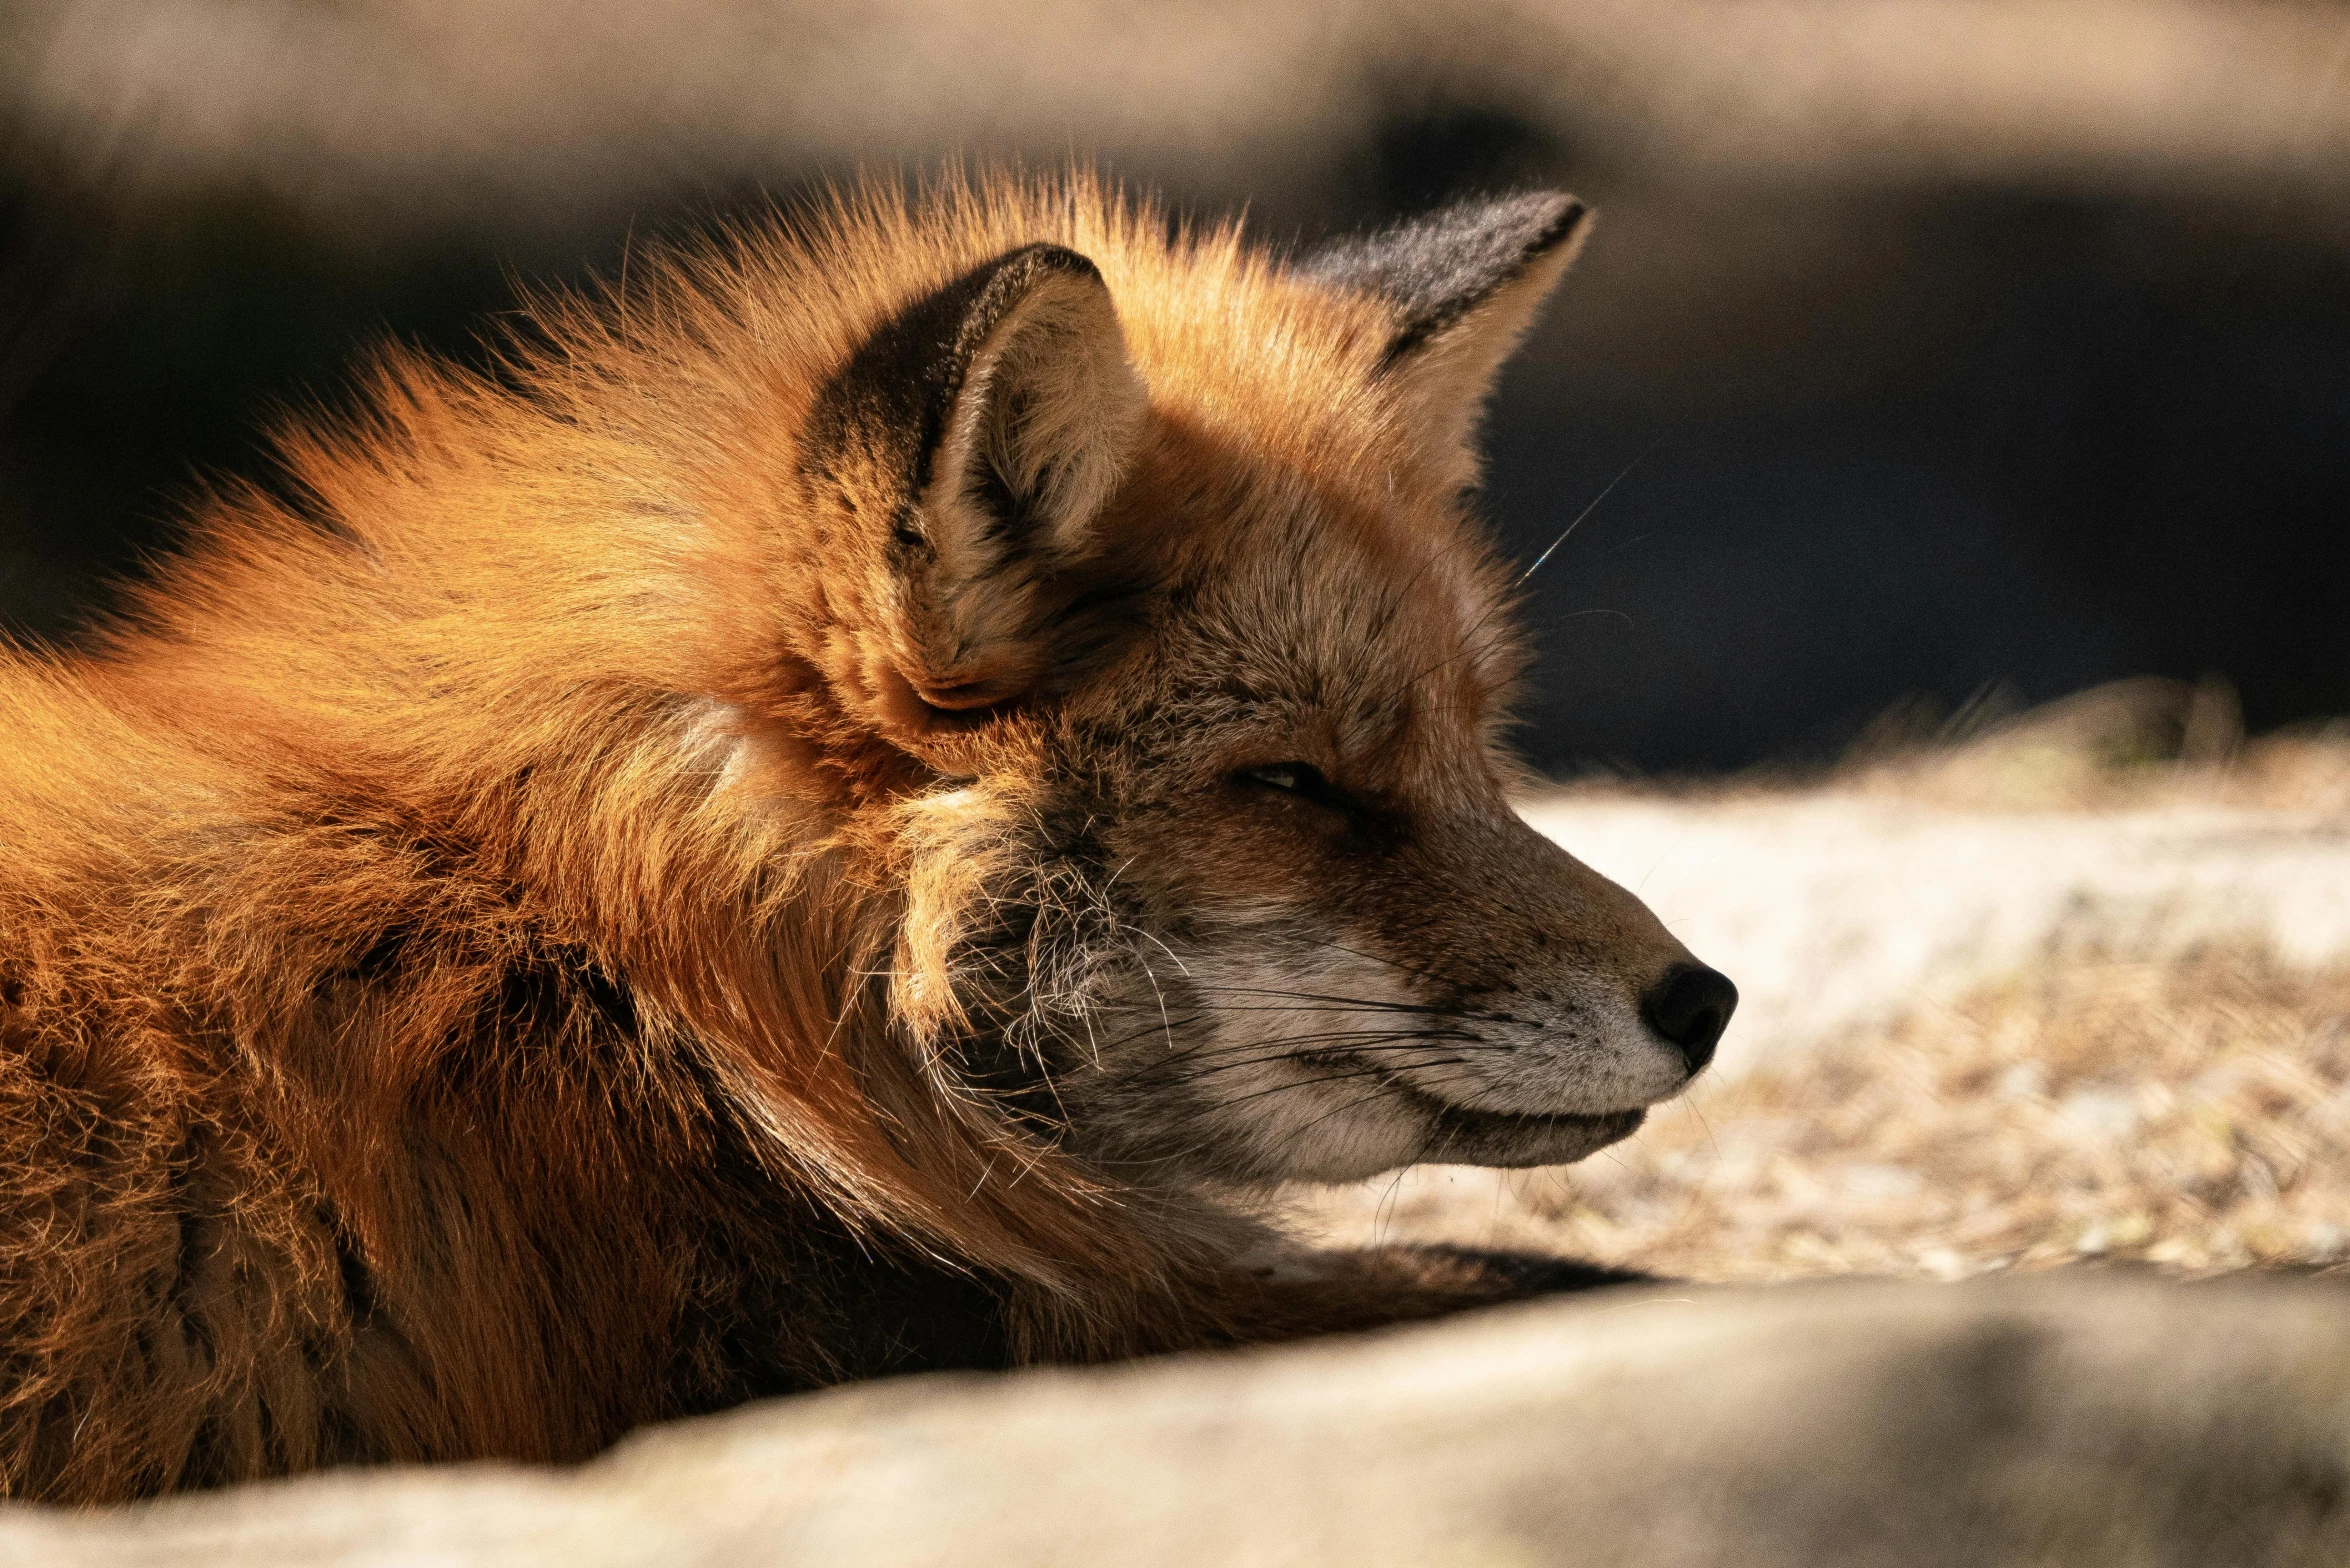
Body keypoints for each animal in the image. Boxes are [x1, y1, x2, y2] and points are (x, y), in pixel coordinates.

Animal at [0, 175, 1738, 1504]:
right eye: (1298, 785)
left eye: (1474, 749)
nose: (1703, 1001)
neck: (622, 971)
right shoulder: (888, 1349)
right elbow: (1559, 1291)